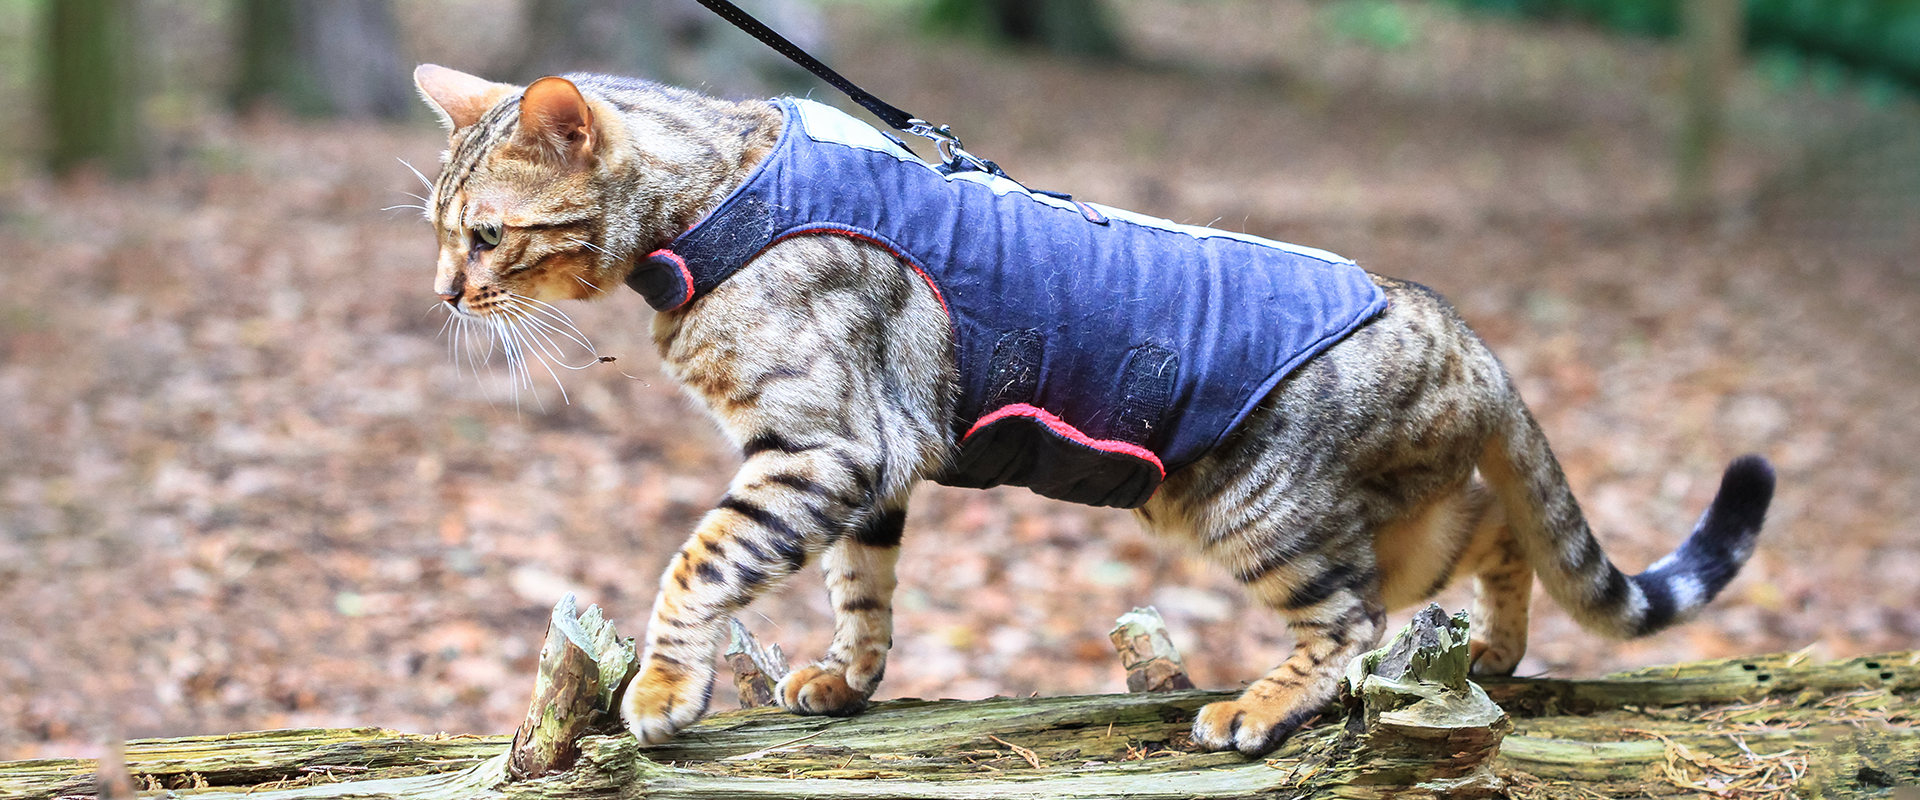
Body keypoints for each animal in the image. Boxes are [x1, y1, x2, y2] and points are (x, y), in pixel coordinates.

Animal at [412, 63, 1774, 755]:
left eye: (485, 235)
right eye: (438, 227)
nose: (443, 291)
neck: (718, 206)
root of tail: (1461, 326)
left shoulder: (826, 443)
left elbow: (698, 560)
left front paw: (660, 691)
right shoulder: (874, 469)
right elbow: (864, 590)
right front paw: (846, 680)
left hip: (1254, 509)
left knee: (1351, 622)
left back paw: (1256, 706)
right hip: (1401, 512)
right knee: (1496, 527)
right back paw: (1492, 646)